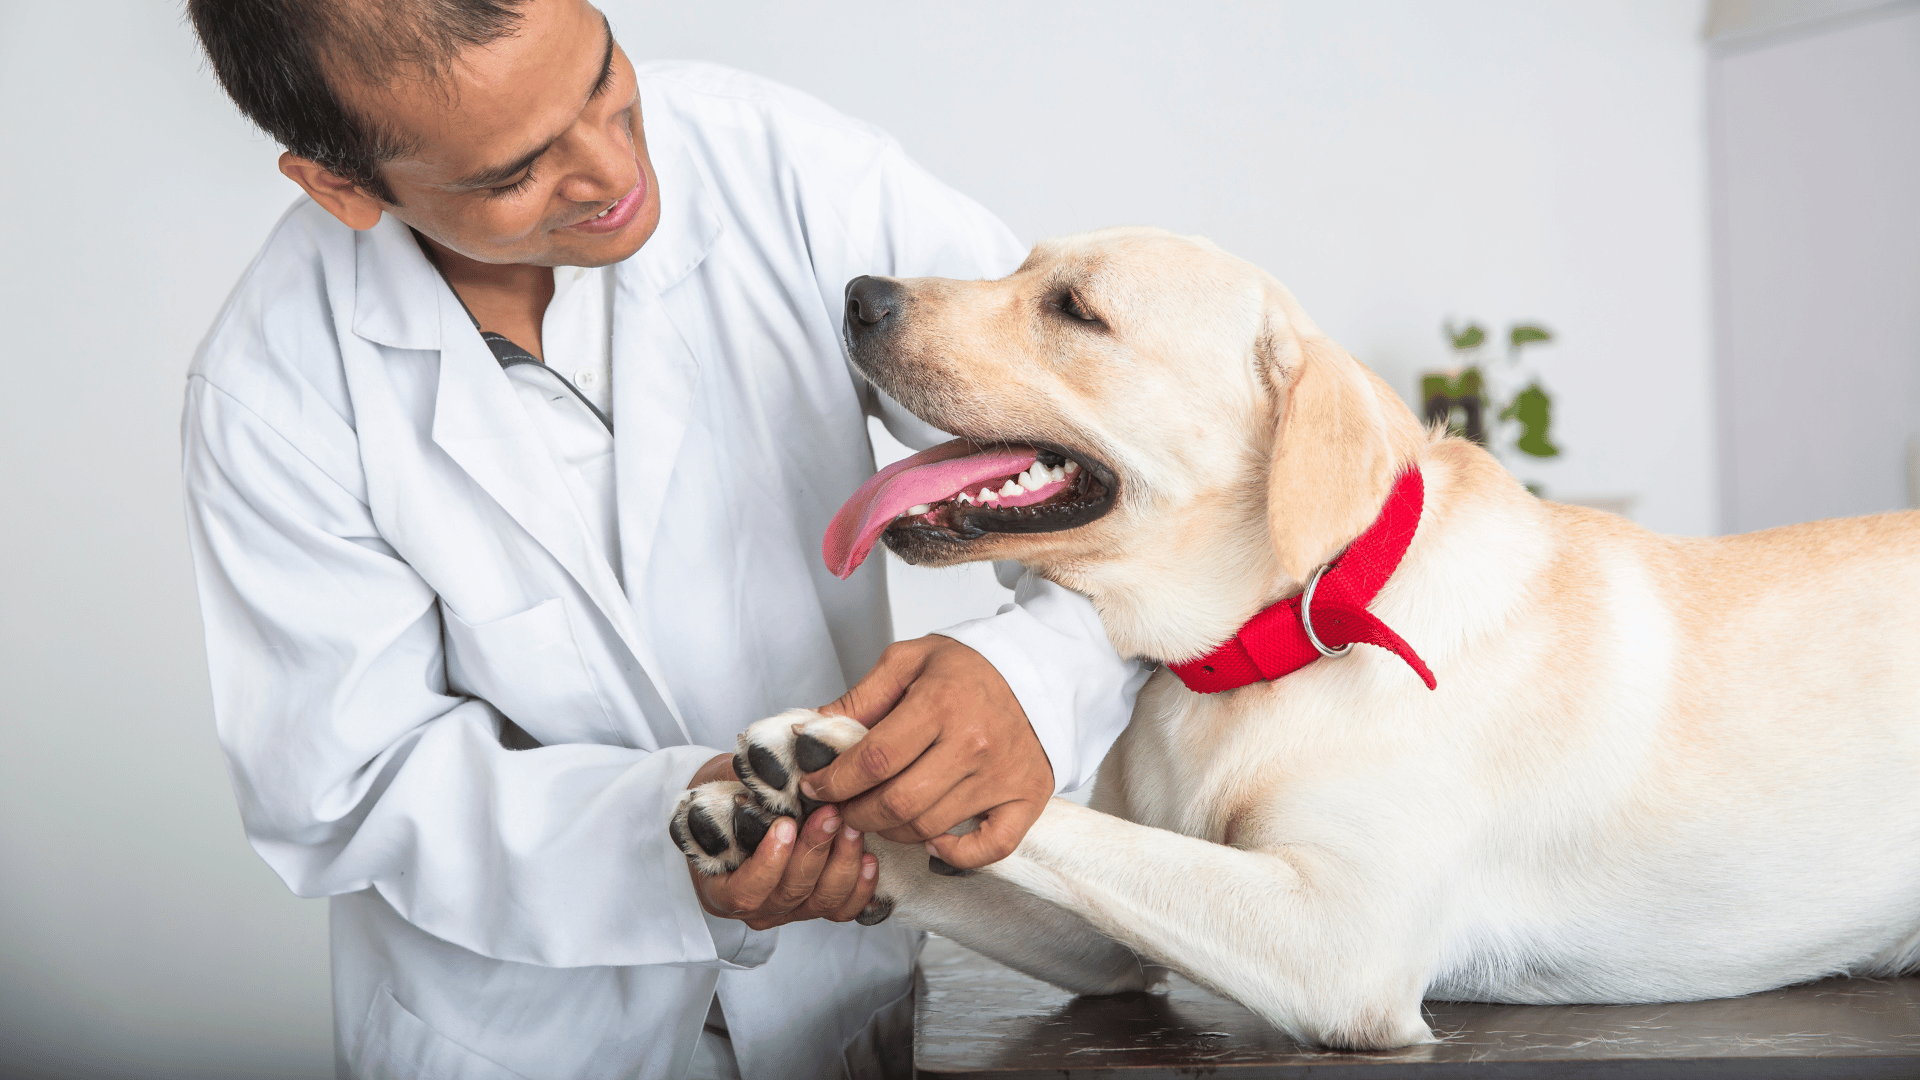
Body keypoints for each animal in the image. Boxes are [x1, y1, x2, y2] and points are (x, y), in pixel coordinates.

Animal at [675, 224, 1920, 1045]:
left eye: (1076, 309)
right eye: (1023, 267)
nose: (857, 292)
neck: (1254, 651)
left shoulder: (1336, 939)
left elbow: (1053, 823)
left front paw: (843, 755)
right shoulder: (1112, 955)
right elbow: (1000, 868)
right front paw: (767, 820)